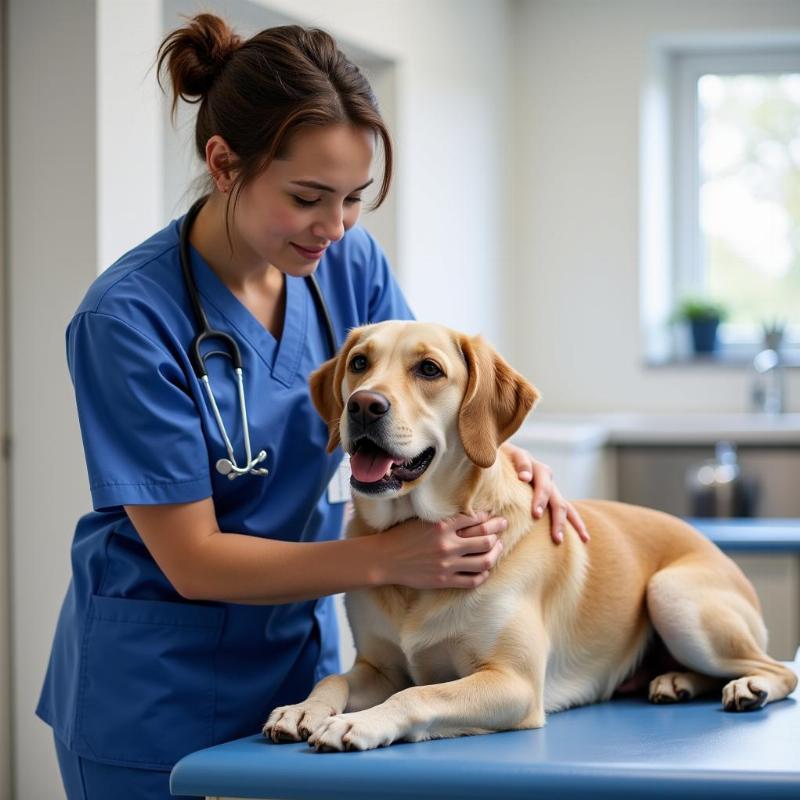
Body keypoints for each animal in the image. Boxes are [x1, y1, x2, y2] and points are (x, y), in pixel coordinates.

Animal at [260, 318, 792, 752]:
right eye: (359, 363)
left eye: (429, 370)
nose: (363, 405)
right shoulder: (378, 668)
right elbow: (334, 679)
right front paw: (303, 709)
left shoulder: (512, 683)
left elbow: (419, 692)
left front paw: (360, 723)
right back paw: (676, 680)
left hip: (672, 594)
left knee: (779, 669)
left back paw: (748, 688)